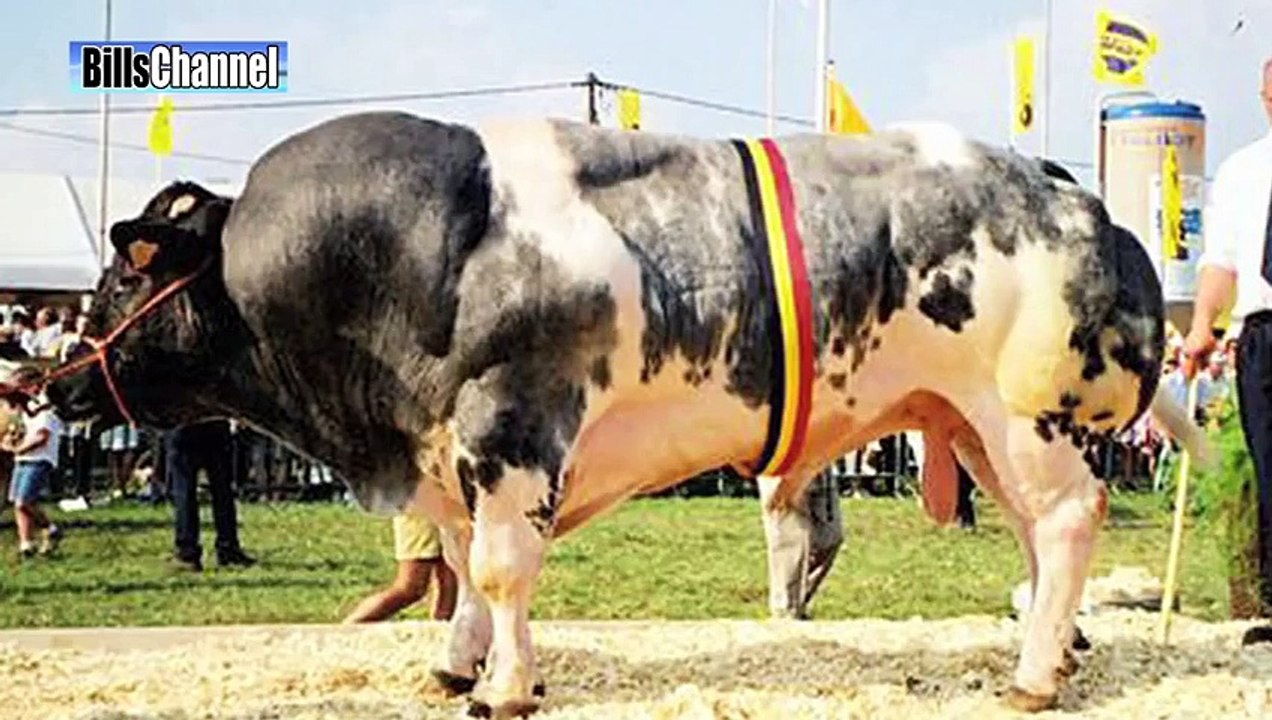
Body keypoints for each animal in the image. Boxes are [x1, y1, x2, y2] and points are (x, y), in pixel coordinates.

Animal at [40, 111, 1209, 717]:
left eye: (122, 276)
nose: (51, 385)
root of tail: (1063, 186)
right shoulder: (449, 454)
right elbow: (461, 566)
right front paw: (455, 663)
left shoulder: (510, 427)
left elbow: (501, 568)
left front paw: (505, 686)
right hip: (970, 422)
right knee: (1035, 536)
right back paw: (1057, 654)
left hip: (1032, 416)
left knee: (1064, 526)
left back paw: (1033, 677)